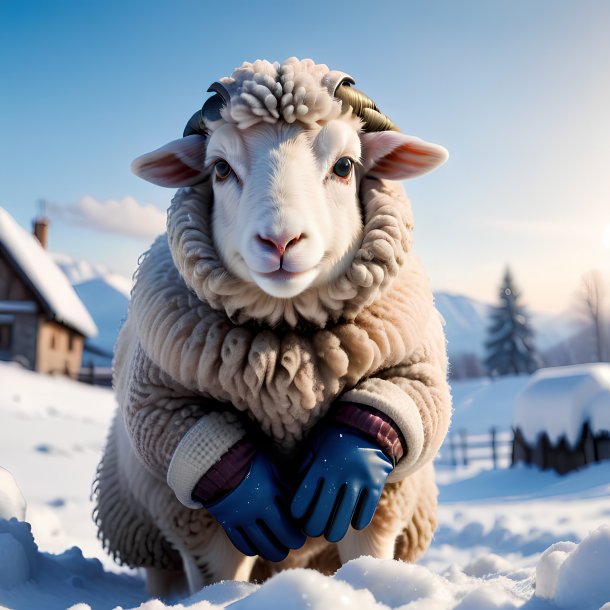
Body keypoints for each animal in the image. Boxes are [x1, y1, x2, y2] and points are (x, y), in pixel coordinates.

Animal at [94, 58, 452, 592]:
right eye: (220, 169)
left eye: (345, 166)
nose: (281, 242)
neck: (288, 361)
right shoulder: (174, 442)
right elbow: (181, 448)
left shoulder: (381, 496)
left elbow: (414, 400)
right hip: (142, 518)